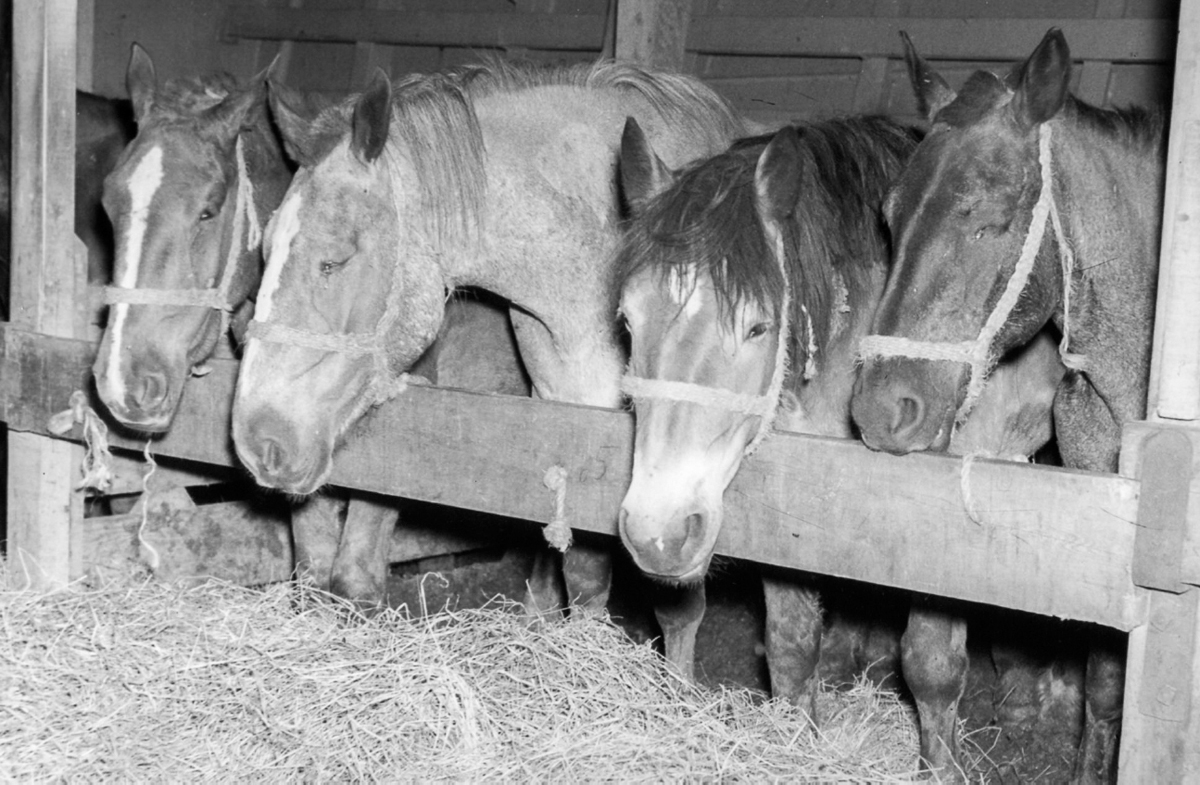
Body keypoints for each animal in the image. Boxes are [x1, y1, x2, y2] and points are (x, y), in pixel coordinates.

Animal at [90, 45, 527, 608]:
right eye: (108, 206)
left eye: (208, 209)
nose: (122, 383)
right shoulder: (298, 431)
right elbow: (314, 567)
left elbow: (354, 578)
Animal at [615, 114, 1066, 776]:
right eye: (627, 321)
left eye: (759, 326)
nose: (659, 533)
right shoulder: (794, 513)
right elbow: (790, 646)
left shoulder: (942, 529)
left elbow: (932, 668)